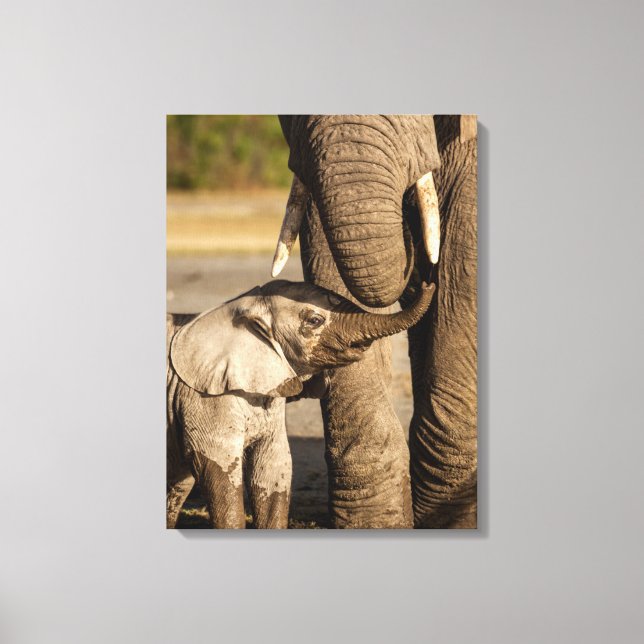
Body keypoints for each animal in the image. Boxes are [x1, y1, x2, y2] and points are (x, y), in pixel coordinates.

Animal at [166, 279, 435, 529]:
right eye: (315, 320)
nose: (427, 284)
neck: (239, 307)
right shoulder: (205, 399)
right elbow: (218, 465)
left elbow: (273, 466)